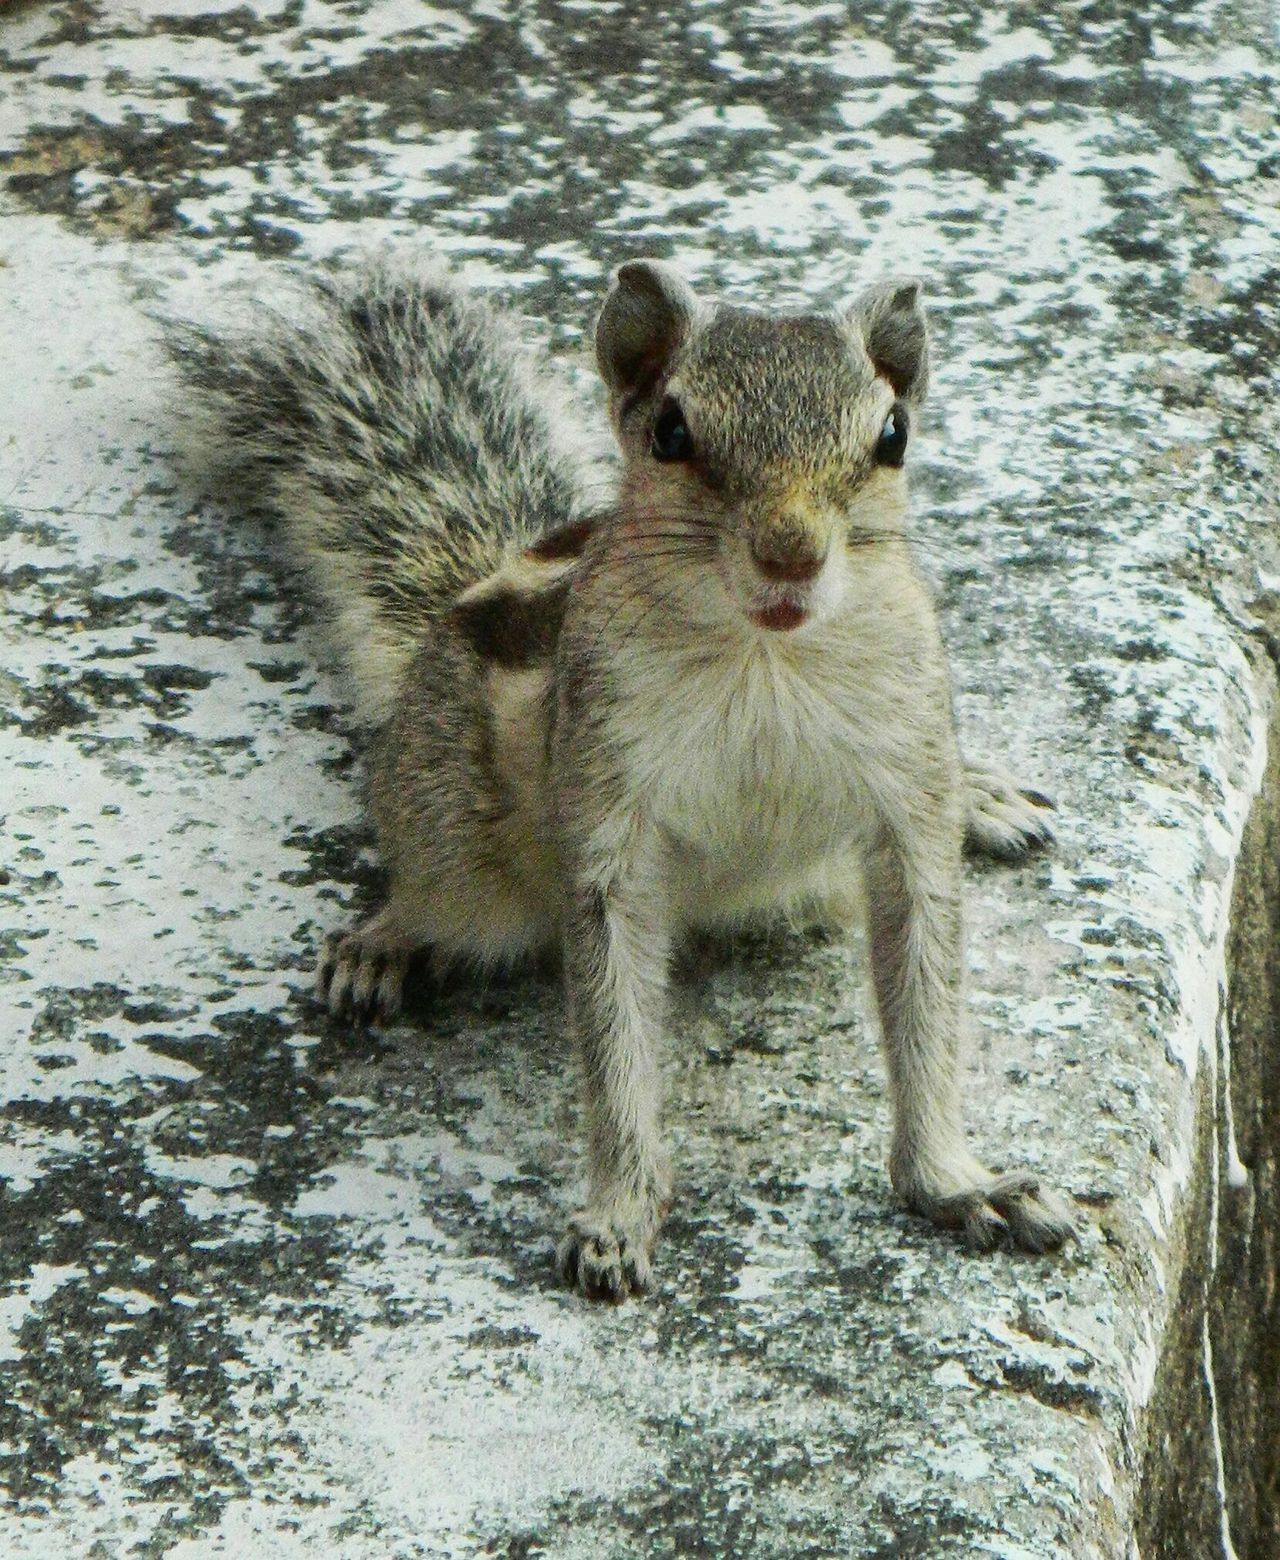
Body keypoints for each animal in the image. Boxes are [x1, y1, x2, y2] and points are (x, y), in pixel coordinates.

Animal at [167, 249, 1066, 1297]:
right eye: (672, 431)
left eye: (894, 435)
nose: (790, 554)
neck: (767, 658)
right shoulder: (608, 824)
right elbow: (613, 1034)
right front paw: (619, 1214)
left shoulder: (907, 795)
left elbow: (927, 1002)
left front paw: (959, 1183)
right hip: (455, 838)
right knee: (438, 894)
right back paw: (384, 941)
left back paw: (987, 795)